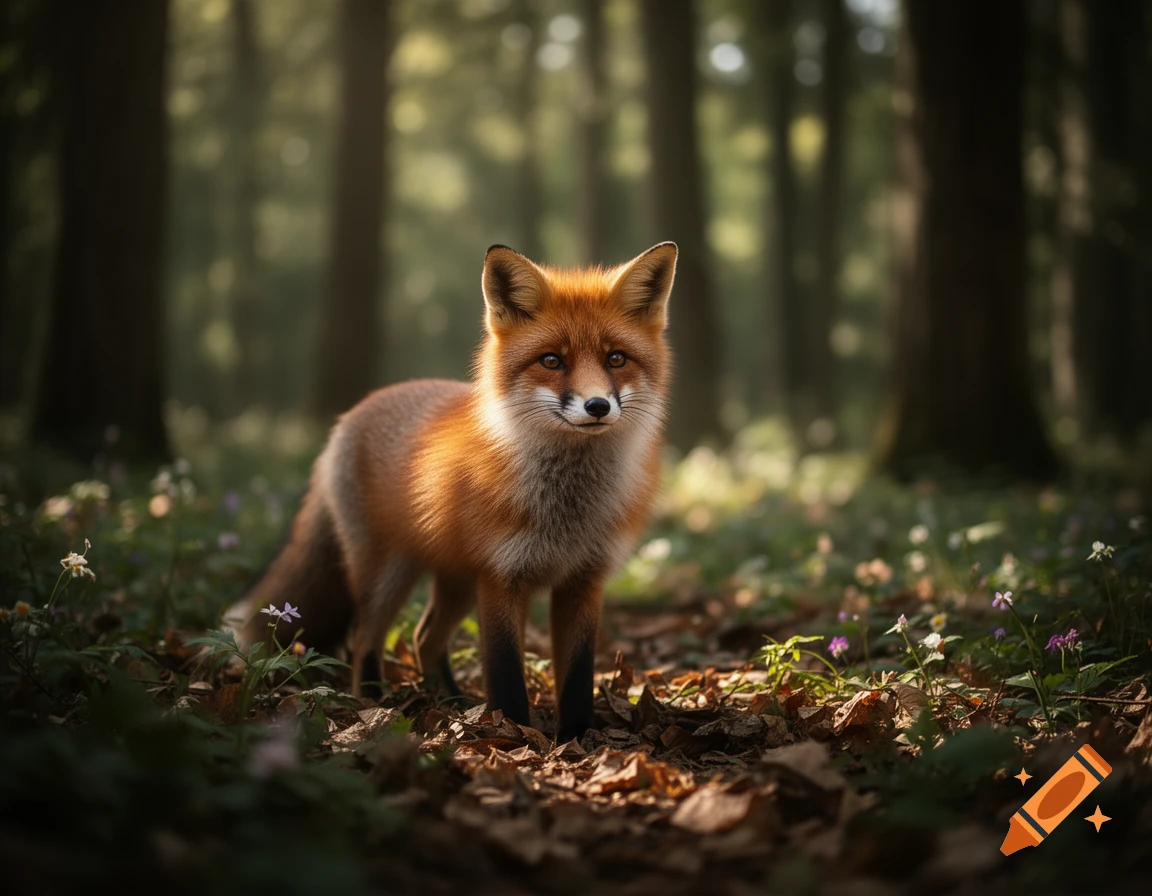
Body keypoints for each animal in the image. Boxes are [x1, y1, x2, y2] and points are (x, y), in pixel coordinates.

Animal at [228, 241, 676, 742]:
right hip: (388, 573)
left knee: (424, 638)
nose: (597, 406)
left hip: (455, 580)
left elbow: (577, 673)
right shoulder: (500, 578)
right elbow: (505, 670)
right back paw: (376, 704)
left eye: (616, 358)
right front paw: (512, 732)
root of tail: (349, 417)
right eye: (551, 361)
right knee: (364, 638)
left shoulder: (582, 580)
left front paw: (578, 736)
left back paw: (454, 703)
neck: (566, 509)